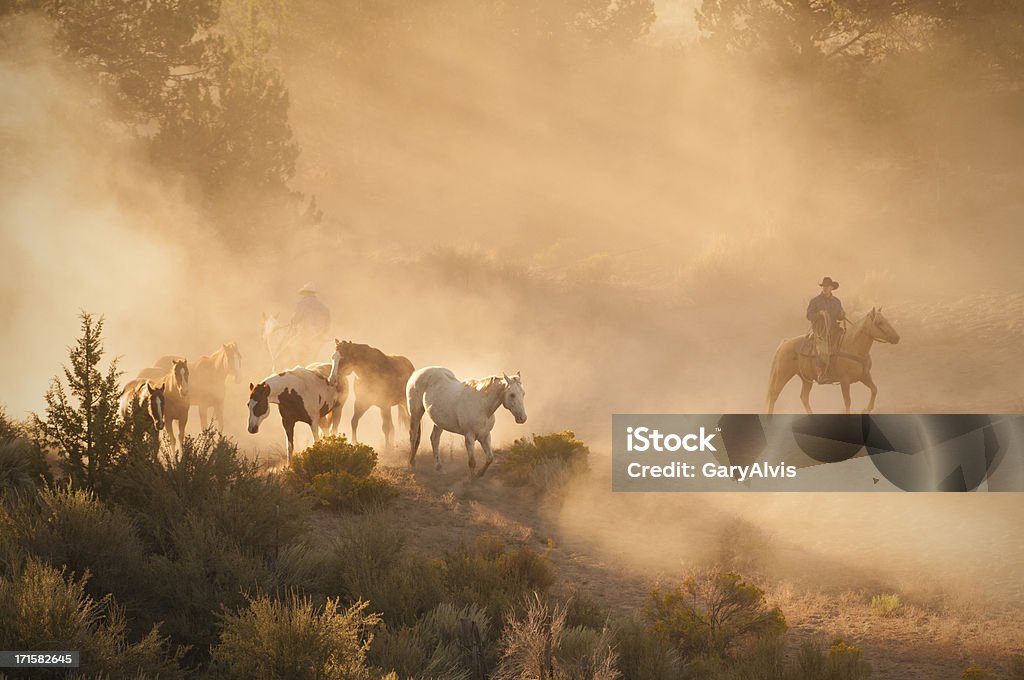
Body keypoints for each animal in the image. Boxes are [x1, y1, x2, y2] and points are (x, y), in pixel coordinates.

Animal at [765, 307, 901, 413]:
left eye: (886, 320)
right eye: (879, 322)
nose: (896, 338)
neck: (852, 346)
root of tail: (785, 343)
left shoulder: (864, 376)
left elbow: (874, 389)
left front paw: (866, 409)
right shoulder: (845, 380)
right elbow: (847, 402)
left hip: (806, 378)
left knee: (804, 397)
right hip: (783, 374)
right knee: (774, 395)